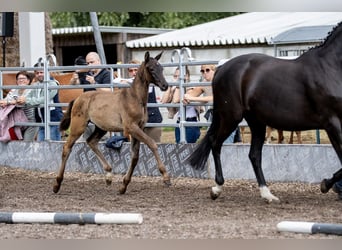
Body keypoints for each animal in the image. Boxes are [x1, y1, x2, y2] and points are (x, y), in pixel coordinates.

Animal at [191, 20, 342, 202]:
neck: (330, 67)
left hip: (256, 122)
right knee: (215, 143)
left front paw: (330, 186)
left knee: (254, 155)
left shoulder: (332, 125)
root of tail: (221, 68)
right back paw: (217, 188)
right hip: (231, 117)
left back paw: (267, 193)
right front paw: (326, 185)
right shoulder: (333, 122)